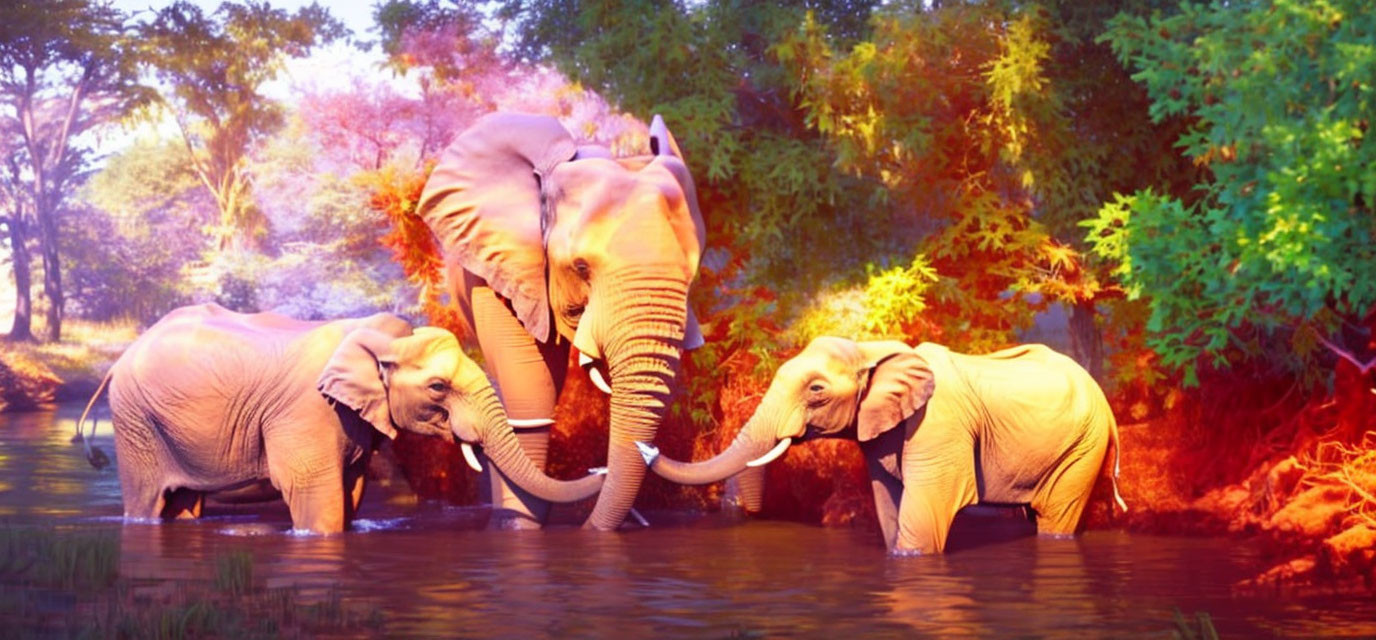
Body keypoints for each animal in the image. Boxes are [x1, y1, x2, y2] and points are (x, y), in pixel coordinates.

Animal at [78, 301, 605, 531]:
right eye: (438, 387)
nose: (599, 466)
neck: (380, 338)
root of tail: (120, 360)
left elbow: (351, 491)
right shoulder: (307, 411)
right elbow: (319, 497)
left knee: (183, 502)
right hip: (137, 423)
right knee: (149, 501)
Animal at [415, 110, 710, 528]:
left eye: (693, 273)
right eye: (581, 267)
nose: (599, 472)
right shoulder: (502, 267)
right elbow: (530, 393)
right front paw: (518, 531)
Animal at [638, 337, 1122, 550]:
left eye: (816, 390)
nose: (648, 448)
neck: (870, 349)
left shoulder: (939, 426)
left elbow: (926, 512)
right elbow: (890, 503)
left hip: (1084, 446)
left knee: (1056, 515)